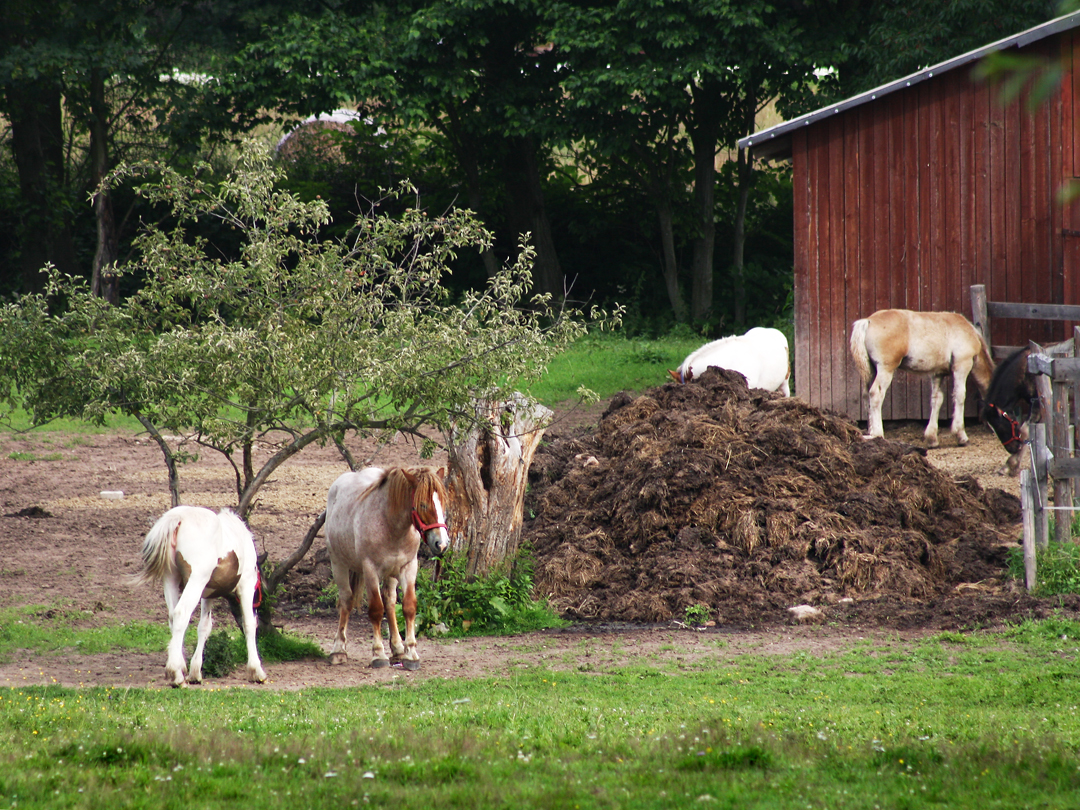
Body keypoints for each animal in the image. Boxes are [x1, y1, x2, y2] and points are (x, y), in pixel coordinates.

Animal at [133, 507, 267, 686]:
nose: (259, 603)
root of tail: (179, 517)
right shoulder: (246, 585)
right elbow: (249, 624)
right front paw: (256, 670)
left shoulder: (207, 594)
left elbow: (204, 627)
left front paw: (195, 672)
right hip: (195, 580)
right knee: (181, 613)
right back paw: (175, 674)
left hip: (171, 578)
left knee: (173, 617)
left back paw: (180, 668)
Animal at [324, 468, 451, 673]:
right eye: (422, 505)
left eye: (443, 503)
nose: (442, 544)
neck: (391, 525)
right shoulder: (370, 570)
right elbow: (376, 610)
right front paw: (378, 654)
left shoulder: (408, 567)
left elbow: (408, 607)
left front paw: (411, 654)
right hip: (338, 564)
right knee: (346, 600)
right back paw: (338, 650)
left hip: (391, 573)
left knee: (390, 601)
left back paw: (398, 649)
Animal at [846, 311, 989, 451]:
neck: (968, 332)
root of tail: (868, 320)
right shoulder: (962, 366)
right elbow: (959, 396)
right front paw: (961, 436)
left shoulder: (938, 373)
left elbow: (937, 399)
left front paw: (932, 439)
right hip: (885, 370)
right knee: (876, 394)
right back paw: (877, 434)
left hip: (872, 371)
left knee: (867, 397)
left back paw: (870, 432)